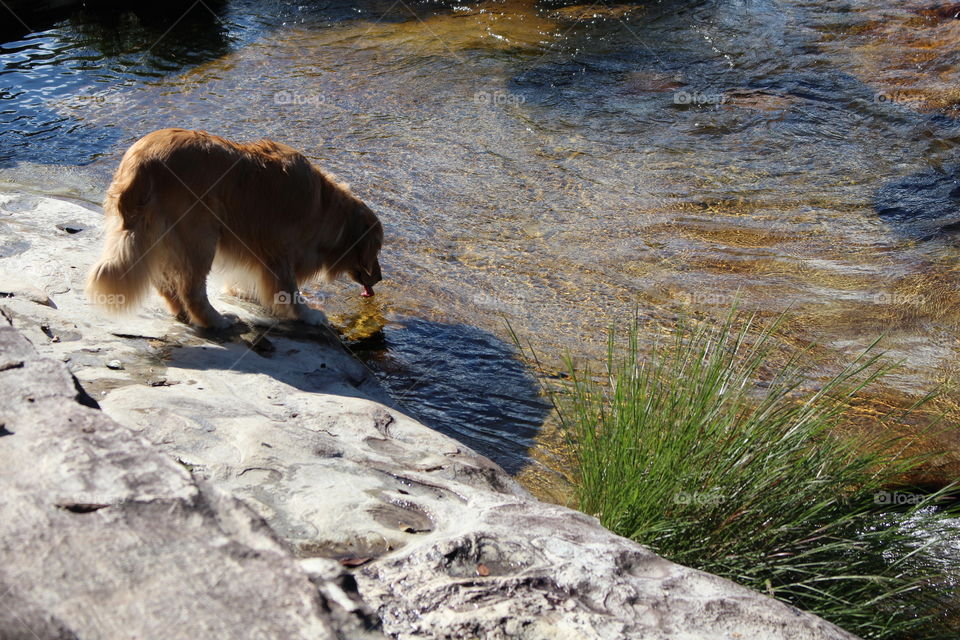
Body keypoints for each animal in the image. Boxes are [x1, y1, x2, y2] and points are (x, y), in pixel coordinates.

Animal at [84, 129, 380, 330]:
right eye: (375, 250)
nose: (378, 278)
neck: (324, 206)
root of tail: (141, 165)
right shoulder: (280, 251)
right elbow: (289, 291)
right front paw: (308, 315)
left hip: (154, 237)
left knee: (167, 284)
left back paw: (182, 313)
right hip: (200, 236)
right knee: (192, 291)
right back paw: (216, 321)